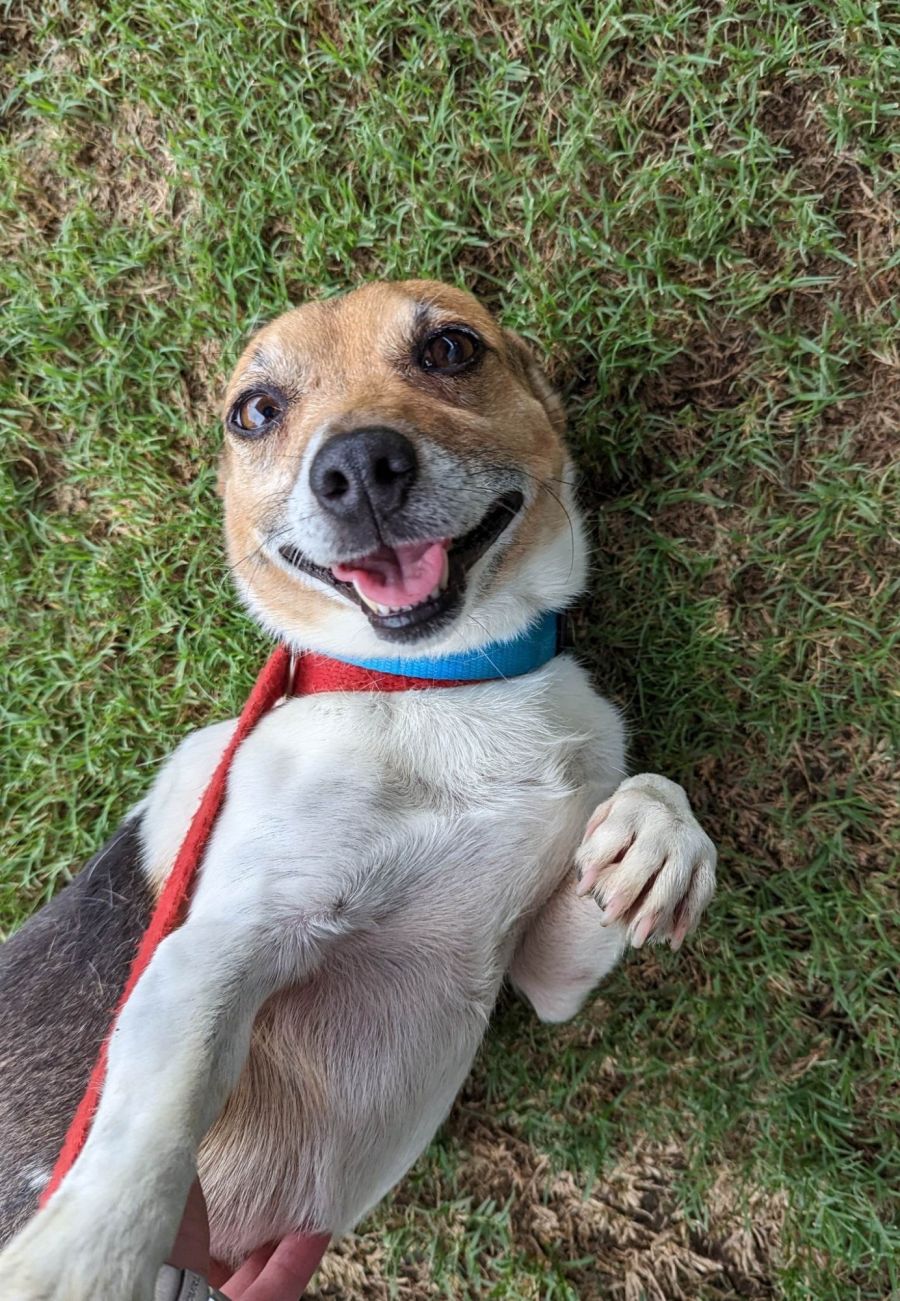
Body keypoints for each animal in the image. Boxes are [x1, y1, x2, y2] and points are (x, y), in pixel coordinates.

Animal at [0, 280, 716, 1299]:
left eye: (451, 348)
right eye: (255, 411)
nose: (358, 466)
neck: (439, 687)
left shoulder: (542, 972)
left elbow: (642, 814)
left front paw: (659, 837)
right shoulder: (210, 955)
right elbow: (147, 1136)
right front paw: (81, 1260)